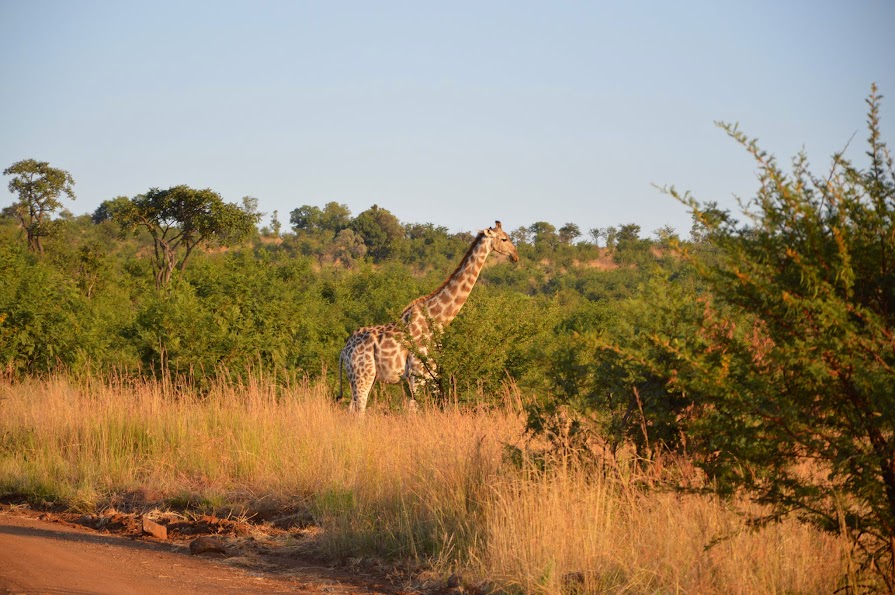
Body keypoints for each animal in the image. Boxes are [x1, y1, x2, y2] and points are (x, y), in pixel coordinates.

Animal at [338, 220, 520, 414]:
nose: (515, 256)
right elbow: (415, 411)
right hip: (362, 376)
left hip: (361, 378)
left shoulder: (431, 374)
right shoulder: (416, 374)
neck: (438, 319)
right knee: (359, 412)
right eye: (504, 238)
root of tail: (344, 351)